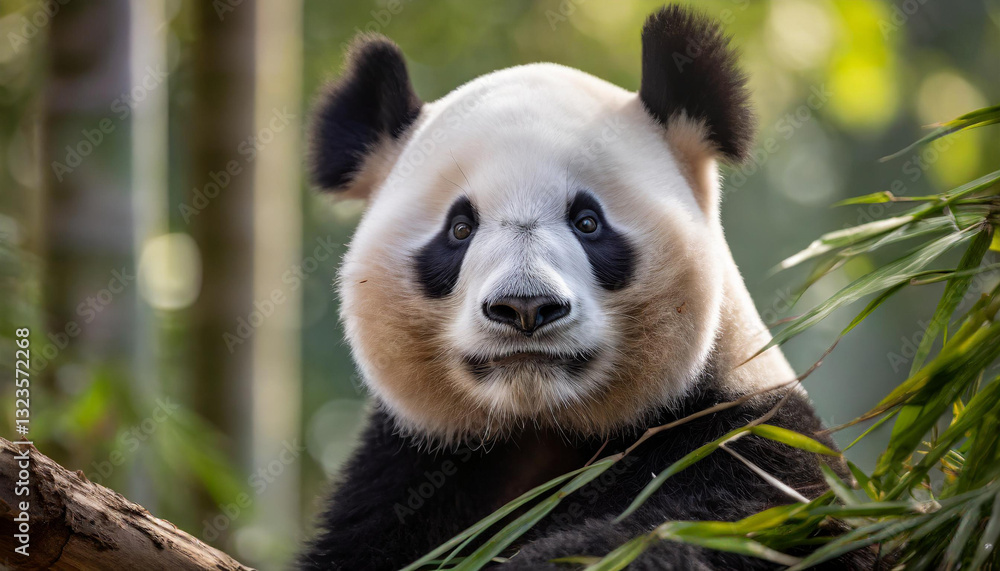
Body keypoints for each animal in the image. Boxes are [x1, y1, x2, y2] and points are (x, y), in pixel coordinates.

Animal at [298, 5, 872, 570]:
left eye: (588, 222)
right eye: (459, 229)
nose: (525, 307)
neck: (543, 424)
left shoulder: (750, 443)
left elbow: (697, 529)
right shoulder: (407, 472)